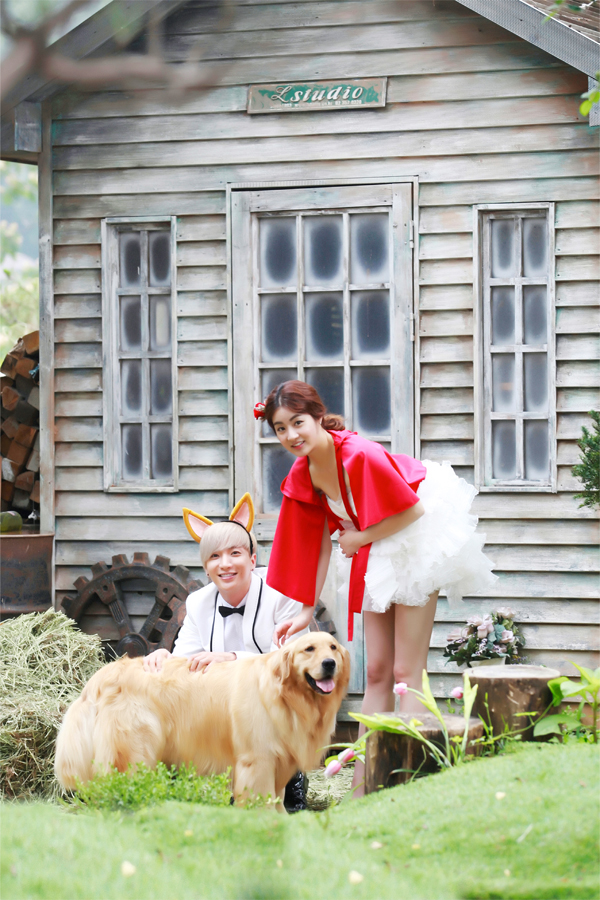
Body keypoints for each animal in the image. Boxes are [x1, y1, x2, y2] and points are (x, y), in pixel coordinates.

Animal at [55, 631, 350, 810]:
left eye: (333, 647)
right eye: (308, 649)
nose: (330, 663)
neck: (283, 694)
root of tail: (101, 675)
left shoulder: (280, 760)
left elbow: (276, 798)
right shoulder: (257, 759)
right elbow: (260, 799)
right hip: (135, 747)